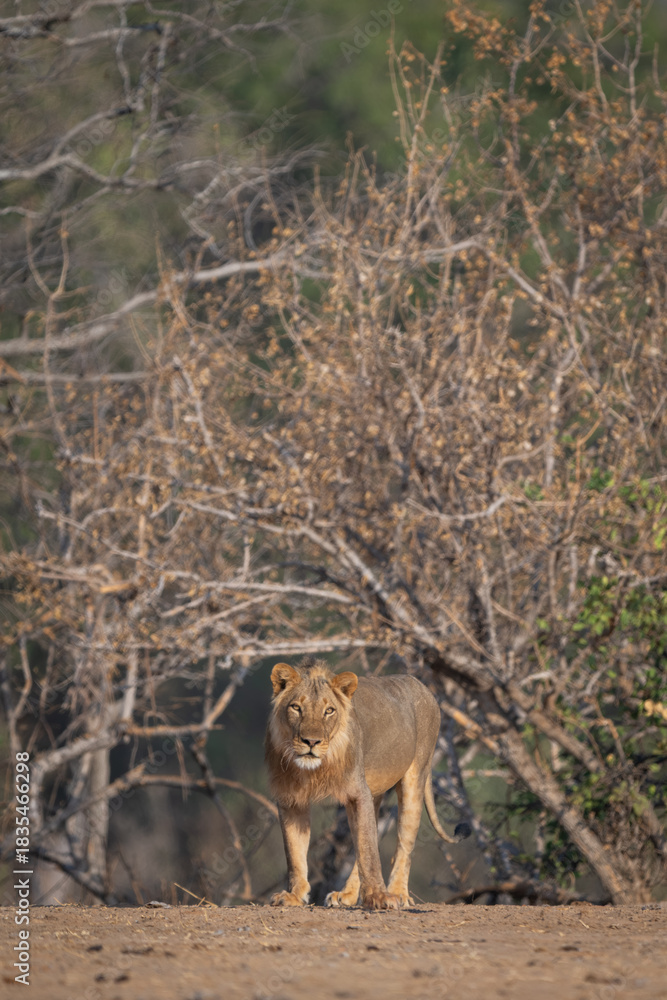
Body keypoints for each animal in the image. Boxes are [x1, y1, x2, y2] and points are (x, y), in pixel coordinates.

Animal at [265, 657, 462, 911]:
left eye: (329, 711)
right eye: (296, 708)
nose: (311, 742)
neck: (315, 770)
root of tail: (423, 686)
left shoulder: (358, 793)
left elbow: (368, 851)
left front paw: (379, 897)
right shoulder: (291, 799)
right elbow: (295, 852)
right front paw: (294, 896)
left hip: (414, 777)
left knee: (404, 844)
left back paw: (397, 893)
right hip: (374, 792)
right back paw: (347, 895)